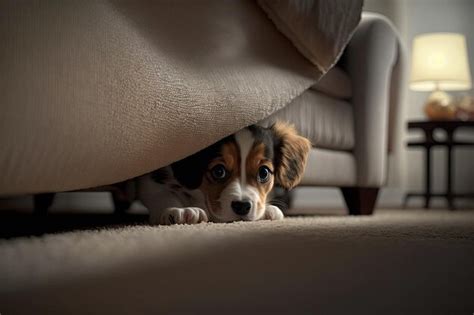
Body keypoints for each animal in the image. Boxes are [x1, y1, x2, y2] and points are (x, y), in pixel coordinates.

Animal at [138, 121, 312, 225]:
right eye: (219, 171)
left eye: (263, 172)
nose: (242, 207)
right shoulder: (152, 179)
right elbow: (162, 194)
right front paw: (179, 210)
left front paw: (268, 210)